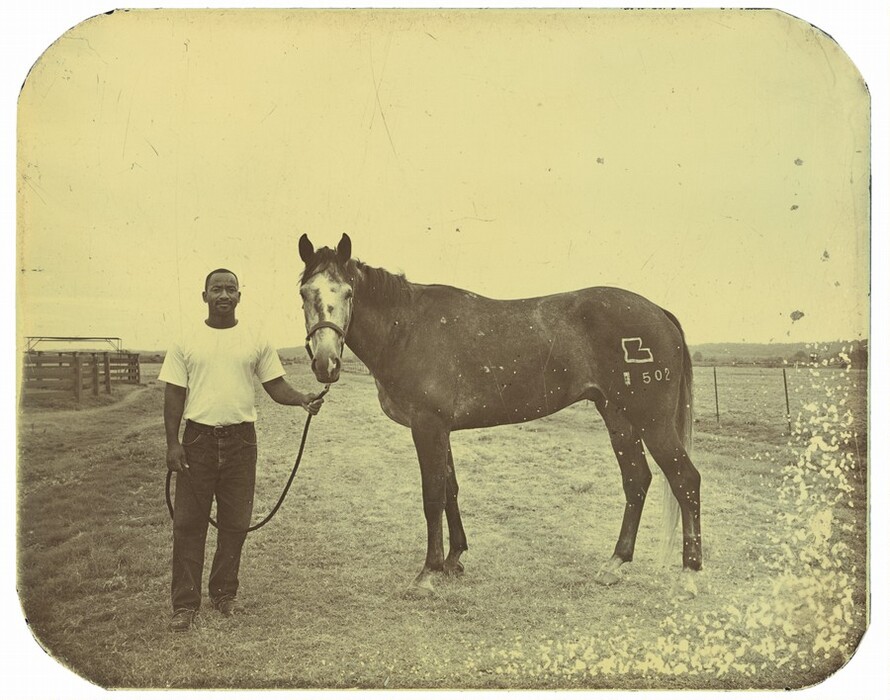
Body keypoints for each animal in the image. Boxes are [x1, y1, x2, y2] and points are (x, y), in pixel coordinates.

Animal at [297, 233, 702, 598]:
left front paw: (428, 572)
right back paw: (614, 564)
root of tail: (658, 312)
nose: (326, 364)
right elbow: (450, 489)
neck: (408, 328)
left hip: (652, 421)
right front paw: (454, 559)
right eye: (304, 294)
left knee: (685, 479)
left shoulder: (427, 426)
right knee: (637, 480)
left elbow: (432, 495)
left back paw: (689, 575)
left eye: (348, 293)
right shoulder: (441, 428)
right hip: (618, 416)